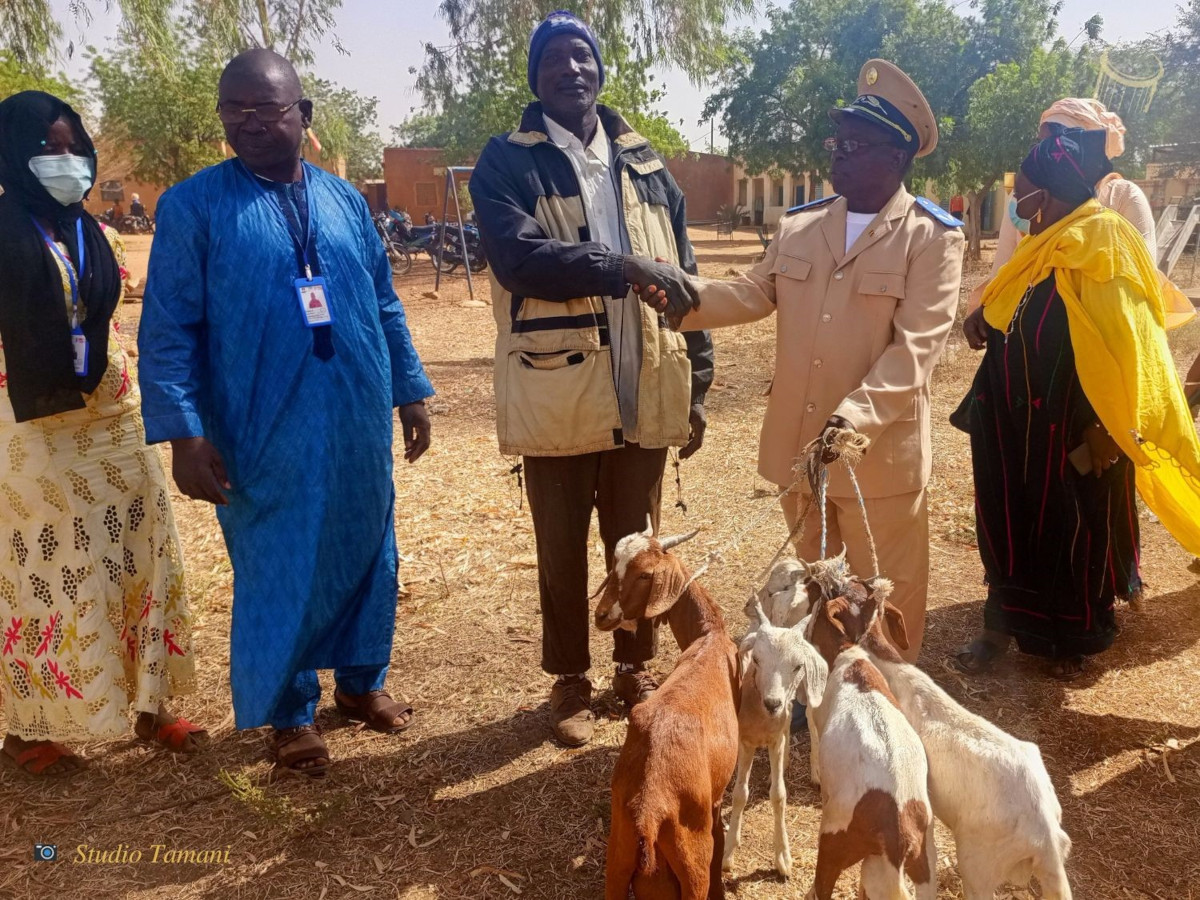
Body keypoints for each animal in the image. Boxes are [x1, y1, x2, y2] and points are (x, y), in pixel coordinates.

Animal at [592, 525, 734, 897]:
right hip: (691, 860)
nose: (601, 614)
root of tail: (648, 811)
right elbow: (720, 841)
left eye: (644, 574)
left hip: (617, 855)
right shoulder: (716, 801)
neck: (708, 637)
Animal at [720, 595, 825, 878]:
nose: (772, 703)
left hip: (806, 691)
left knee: (811, 720)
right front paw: (728, 854)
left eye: (798, 665)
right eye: (756, 659)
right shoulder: (745, 741)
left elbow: (778, 794)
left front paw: (782, 859)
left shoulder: (775, 739)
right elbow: (740, 794)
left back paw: (815, 771)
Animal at [806, 580, 936, 900]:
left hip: (834, 840)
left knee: (823, 886)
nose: (810, 583)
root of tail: (898, 835)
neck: (850, 657)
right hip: (923, 864)